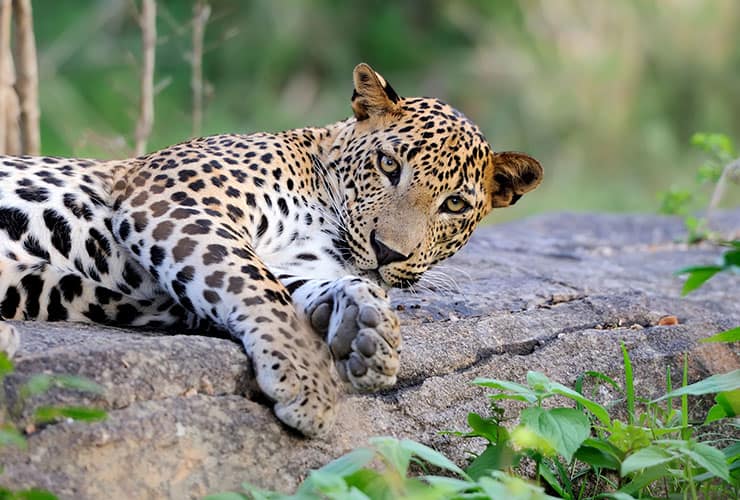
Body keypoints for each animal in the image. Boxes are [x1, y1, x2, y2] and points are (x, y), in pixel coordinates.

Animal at [0, 64, 542, 436]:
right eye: (389, 165)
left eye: (454, 204)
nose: (388, 252)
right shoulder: (176, 199)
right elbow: (254, 283)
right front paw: (308, 383)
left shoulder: (296, 261)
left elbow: (299, 285)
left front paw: (364, 327)